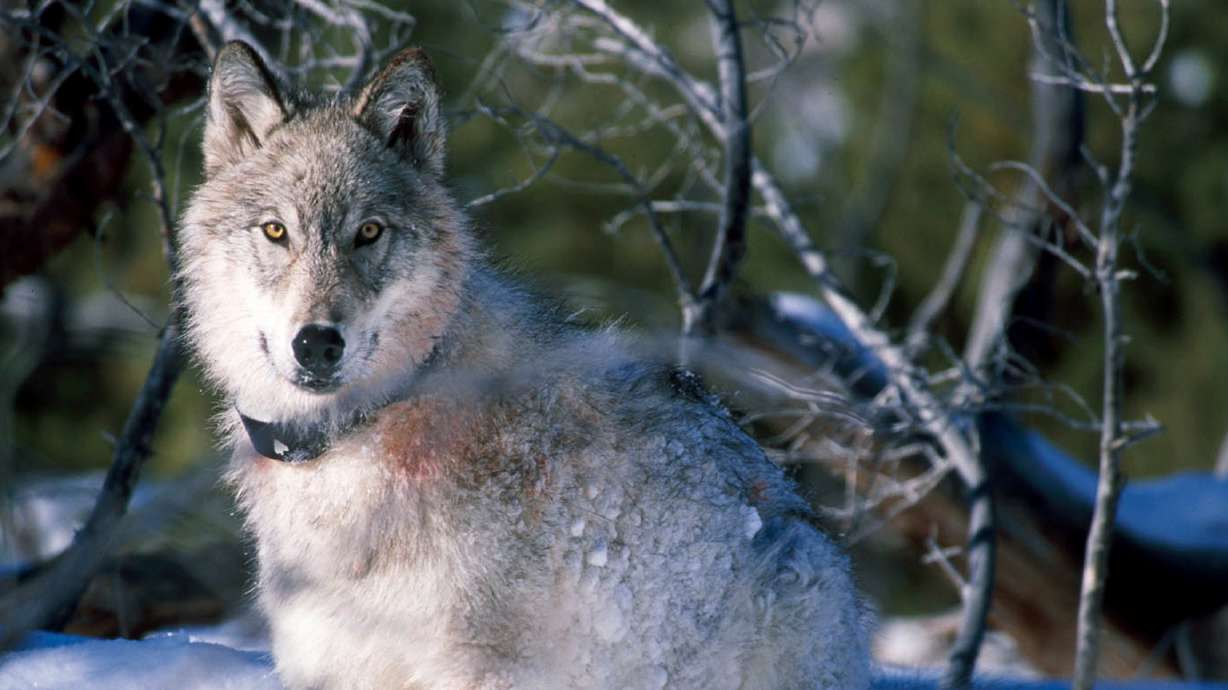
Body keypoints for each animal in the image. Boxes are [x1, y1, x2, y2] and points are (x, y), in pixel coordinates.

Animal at [176, 41, 871, 690]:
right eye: (275, 231)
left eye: (368, 232)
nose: (317, 343)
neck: (366, 424)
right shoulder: (329, 661)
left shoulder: (481, 668)